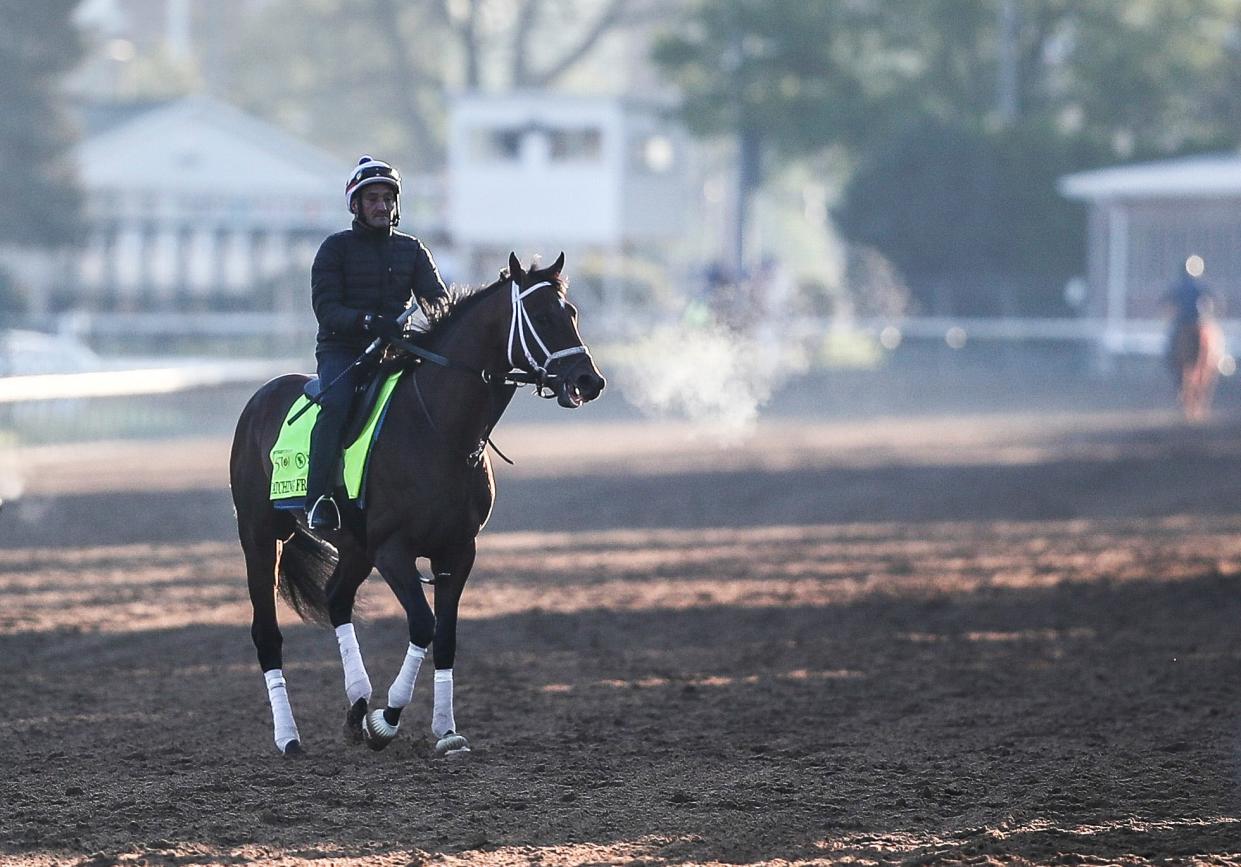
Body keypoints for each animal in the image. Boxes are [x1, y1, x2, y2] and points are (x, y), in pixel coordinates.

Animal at [230, 250, 608, 754]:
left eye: (571, 313)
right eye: (542, 316)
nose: (589, 380)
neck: (440, 430)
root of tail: (259, 397)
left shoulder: (458, 550)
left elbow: (445, 636)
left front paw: (445, 730)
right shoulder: (395, 550)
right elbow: (424, 625)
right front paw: (387, 718)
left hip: (355, 546)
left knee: (336, 599)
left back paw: (356, 705)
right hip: (261, 535)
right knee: (266, 634)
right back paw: (289, 736)